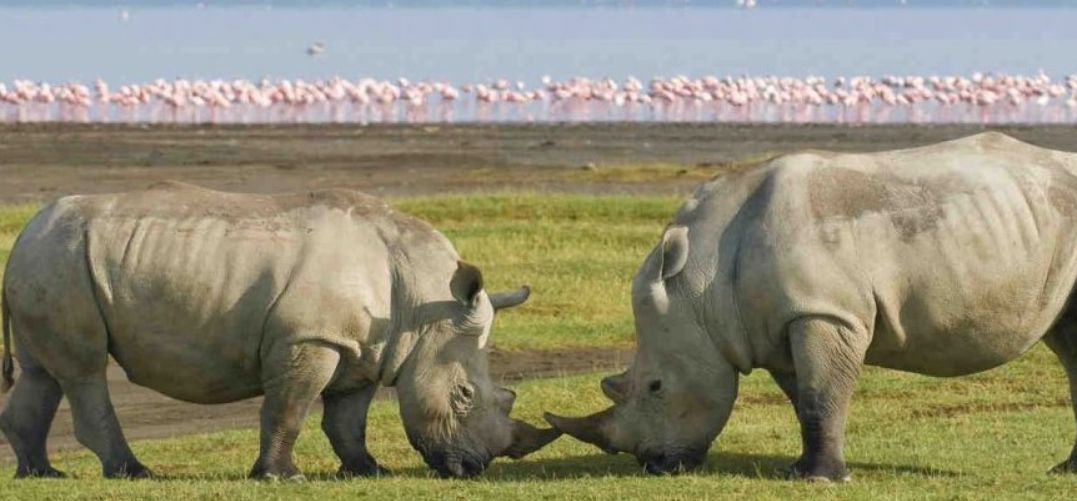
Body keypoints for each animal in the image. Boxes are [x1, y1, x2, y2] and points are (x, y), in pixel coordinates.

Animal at [0, 182, 558, 480]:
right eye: (464, 395)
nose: (473, 468)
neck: (423, 306)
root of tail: (25, 231)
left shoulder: (365, 348)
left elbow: (347, 420)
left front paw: (368, 470)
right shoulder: (309, 338)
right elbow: (288, 409)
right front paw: (280, 476)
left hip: (51, 259)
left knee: (43, 372)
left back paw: (41, 472)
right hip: (61, 259)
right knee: (84, 370)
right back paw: (134, 472)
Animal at [546, 132, 1077, 481]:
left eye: (656, 387)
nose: (653, 464)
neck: (702, 283)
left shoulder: (823, 310)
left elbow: (823, 393)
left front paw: (820, 479)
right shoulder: (776, 324)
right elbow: (805, 398)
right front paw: (801, 470)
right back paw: (1063, 471)